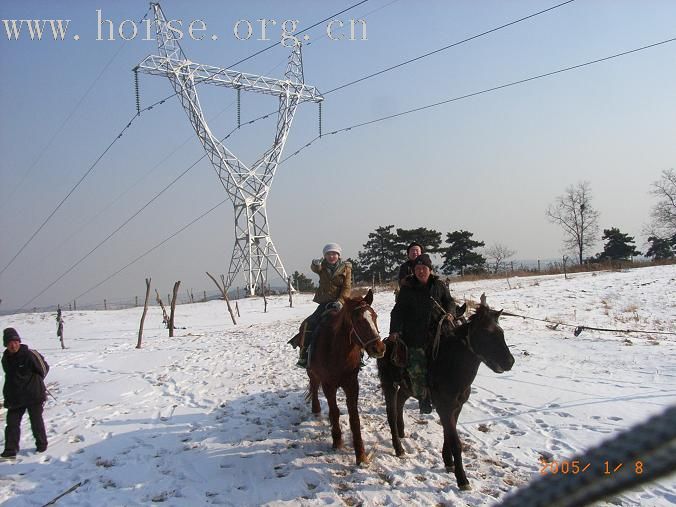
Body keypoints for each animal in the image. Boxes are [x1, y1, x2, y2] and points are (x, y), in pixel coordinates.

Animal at [306, 292, 386, 466]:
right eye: (359, 321)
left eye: (375, 316)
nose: (379, 348)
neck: (337, 352)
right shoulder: (328, 385)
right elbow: (335, 411)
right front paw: (337, 440)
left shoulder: (352, 384)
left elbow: (354, 417)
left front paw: (361, 455)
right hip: (312, 373)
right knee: (314, 386)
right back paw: (316, 409)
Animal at [378, 298, 516, 492]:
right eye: (486, 333)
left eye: (501, 332)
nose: (509, 362)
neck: (452, 366)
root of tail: (385, 343)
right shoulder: (445, 407)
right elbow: (455, 442)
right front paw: (462, 479)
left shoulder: (456, 407)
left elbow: (448, 434)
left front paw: (448, 462)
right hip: (388, 384)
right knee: (391, 412)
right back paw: (399, 448)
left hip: (408, 387)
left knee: (400, 401)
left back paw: (402, 430)